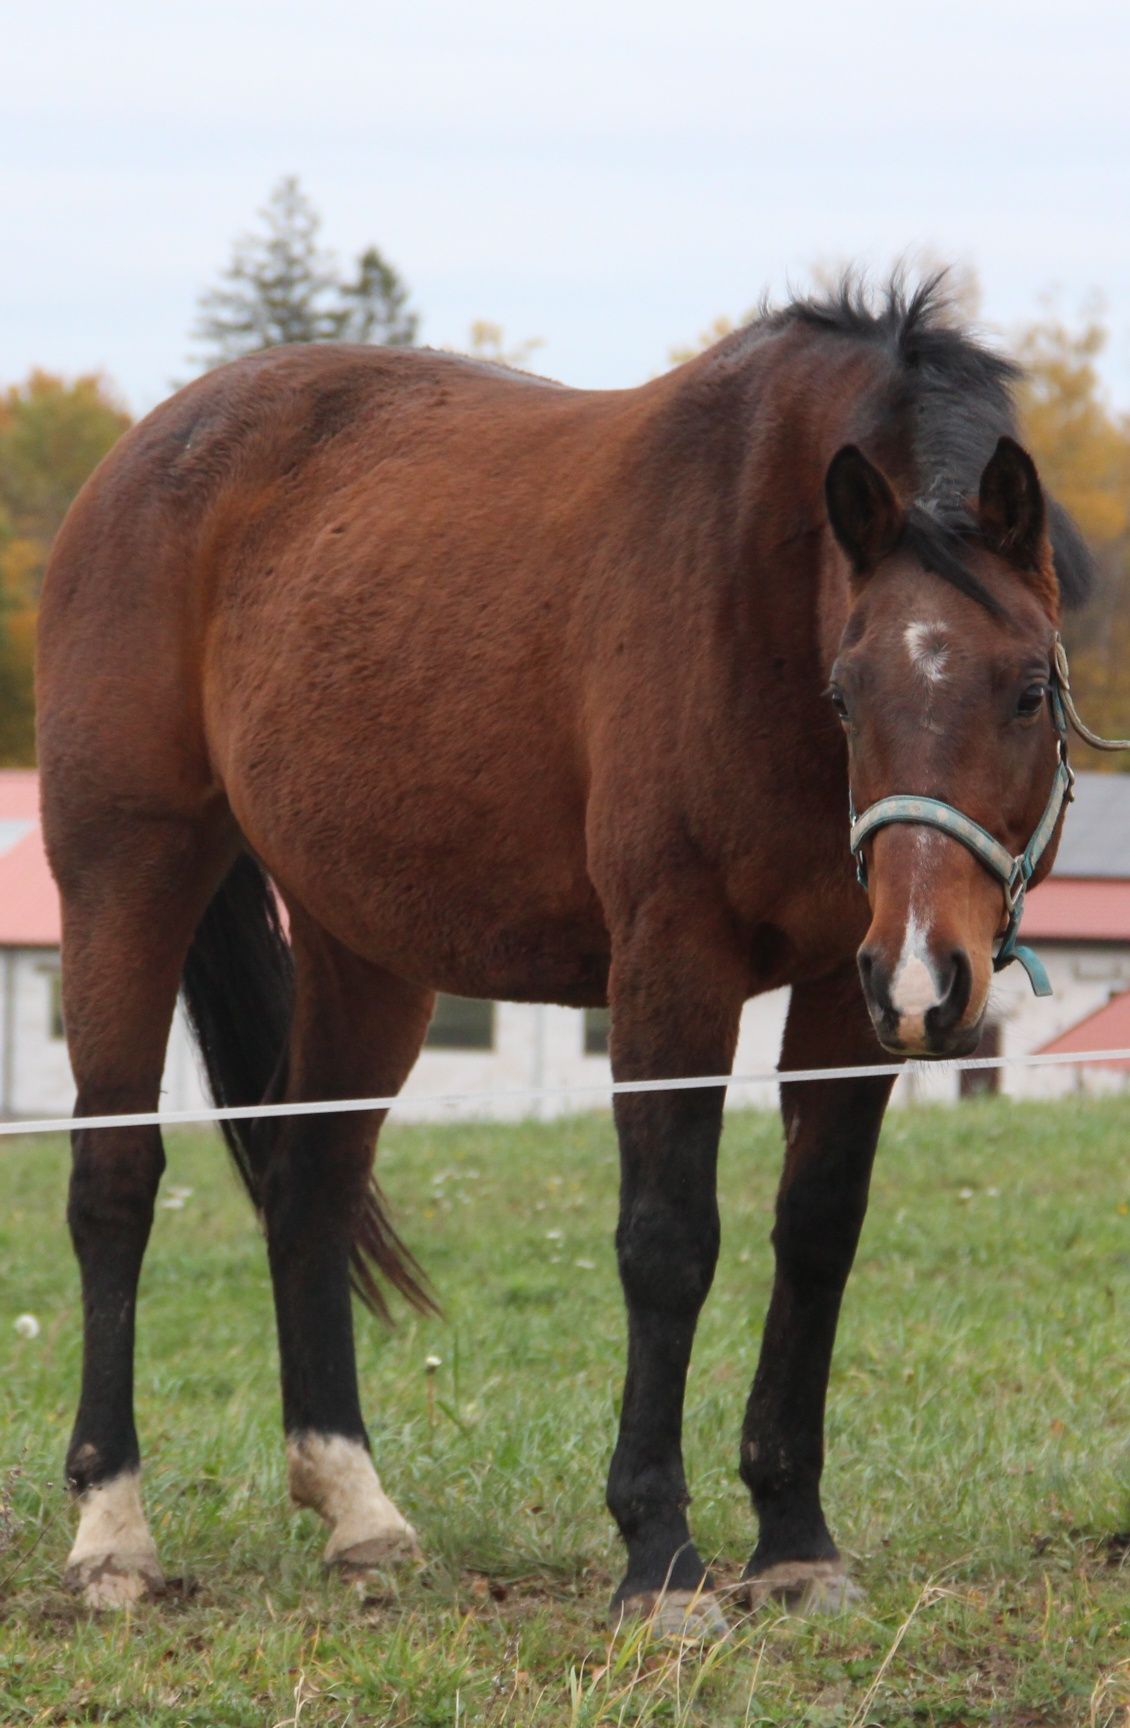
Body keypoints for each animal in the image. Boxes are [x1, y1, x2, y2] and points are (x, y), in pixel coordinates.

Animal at [37, 276, 1098, 1624]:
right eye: (845, 693)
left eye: (1024, 689)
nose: (926, 976)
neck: (754, 578)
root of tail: (140, 455)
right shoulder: (670, 965)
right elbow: (666, 1242)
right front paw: (659, 1555)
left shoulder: (838, 992)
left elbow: (814, 1235)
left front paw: (794, 1538)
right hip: (127, 877)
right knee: (115, 1183)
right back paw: (113, 1530)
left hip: (363, 947)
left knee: (310, 1184)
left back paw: (356, 1506)